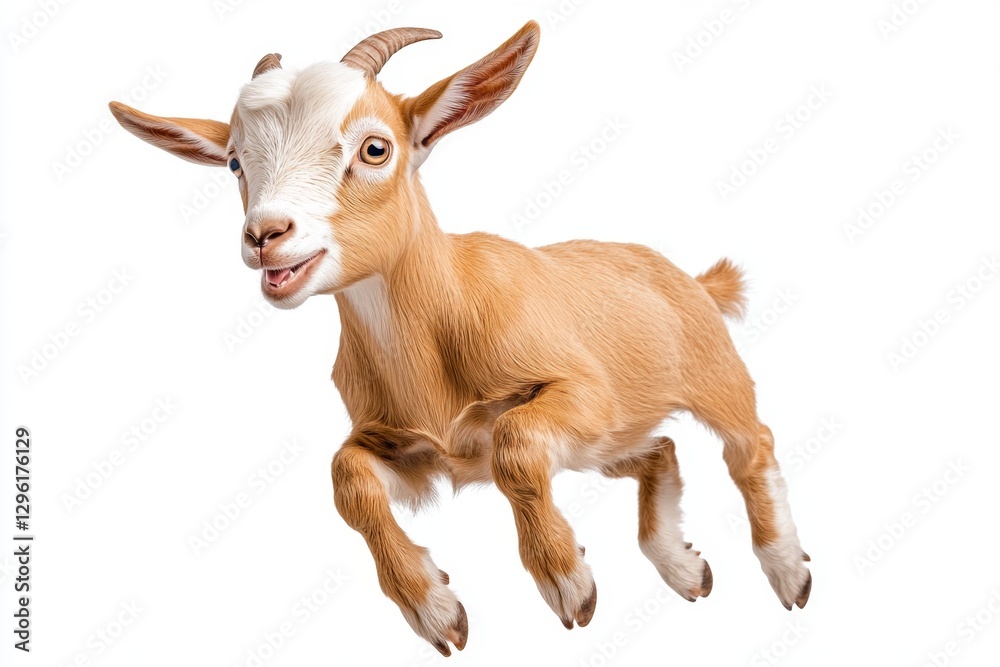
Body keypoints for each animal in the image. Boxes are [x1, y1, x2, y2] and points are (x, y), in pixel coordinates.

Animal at [109, 21, 811, 656]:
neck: (439, 329)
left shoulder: (584, 392)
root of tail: (690, 277)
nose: (265, 235)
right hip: (606, 444)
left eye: (375, 149)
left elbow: (515, 443)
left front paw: (567, 579)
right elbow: (348, 477)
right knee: (659, 448)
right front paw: (434, 608)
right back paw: (684, 568)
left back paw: (788, 571)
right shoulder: (414, 449)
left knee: (750, 446)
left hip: (711, 376)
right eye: (233, 161)